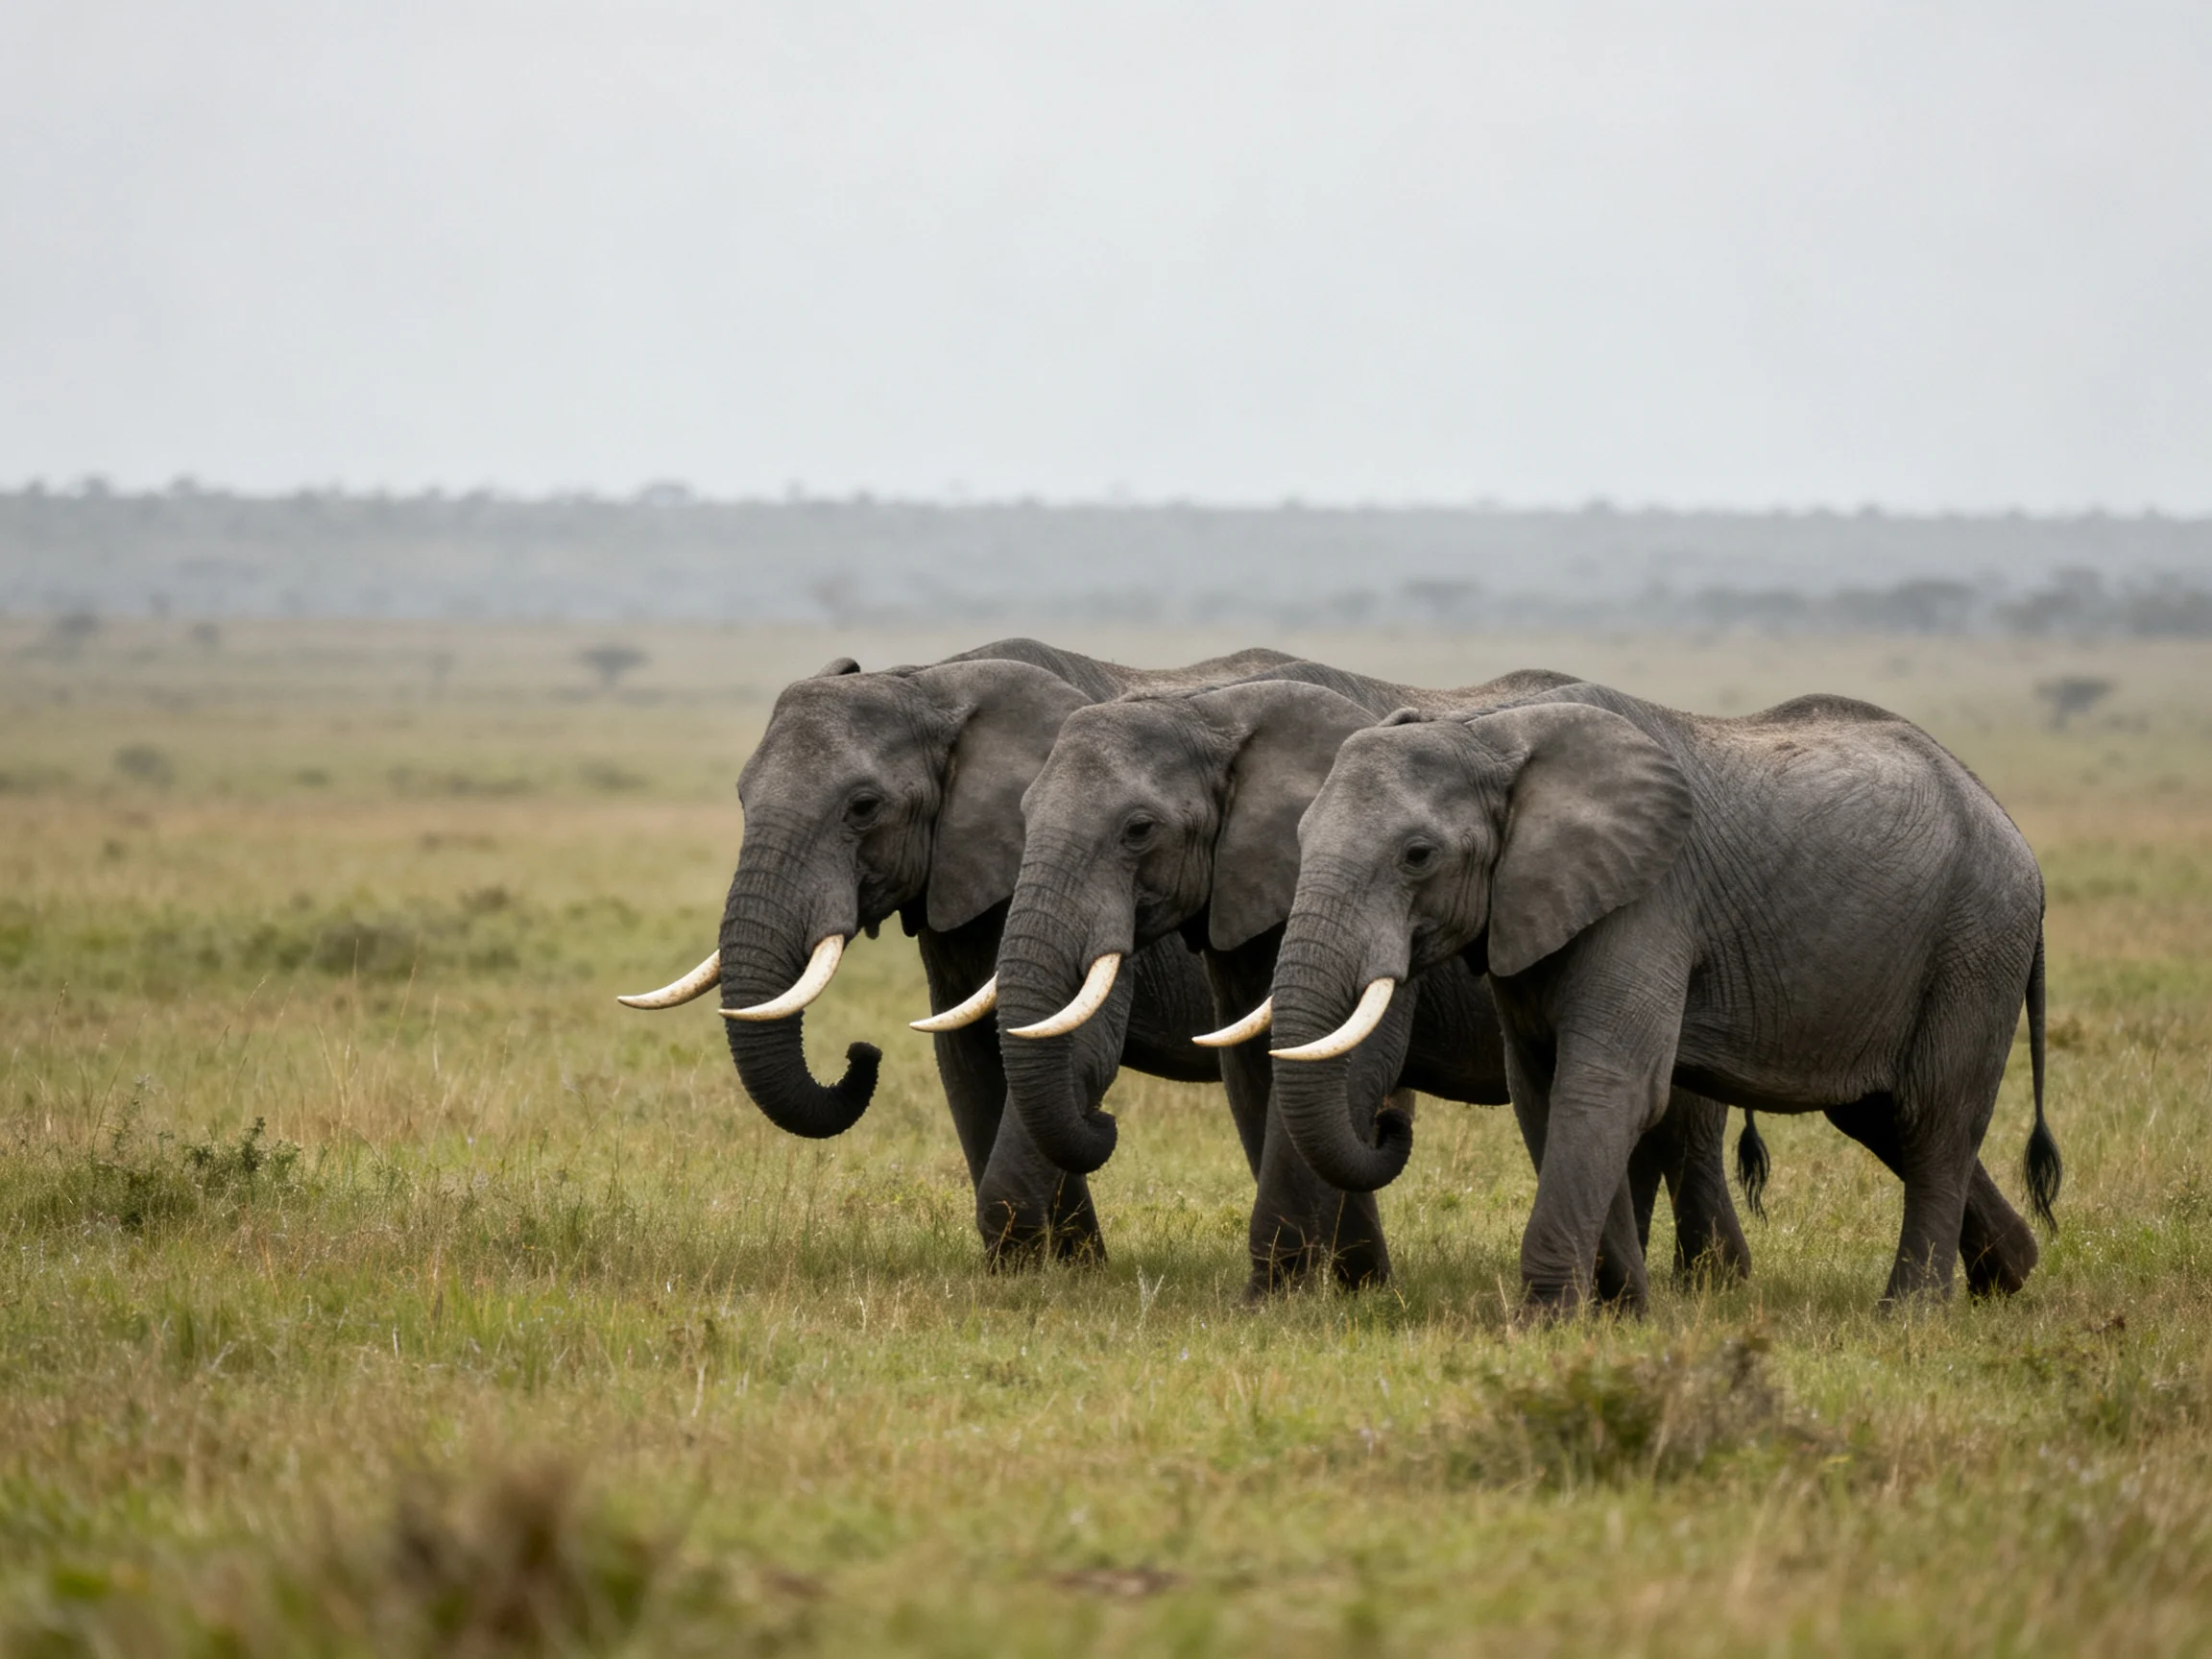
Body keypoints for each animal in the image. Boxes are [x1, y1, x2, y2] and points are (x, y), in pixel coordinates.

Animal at [616, 637, 1299, 1266]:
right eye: (740, 797)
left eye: (863, 808)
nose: (862, 1053)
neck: (929, 682)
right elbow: (966, 1058)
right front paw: (1052, 1272)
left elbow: (1074, 1048)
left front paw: (1040, 1265)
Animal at [988, 661, 1755, 1300]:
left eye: (1138, 830)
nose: (1106, 1121)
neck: (1219, 711)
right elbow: (1257, 1075)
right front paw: (1358, 1288)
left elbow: (1356, 1064)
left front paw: (1281, 1299)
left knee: (1679, 1125)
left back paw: (1715, 1284)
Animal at [1260, 679, 2061, 1313]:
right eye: (1298, 832)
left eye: (1417, 856)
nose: (1390, 1123)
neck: (1493, 732)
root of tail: (2015, 832)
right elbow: (1547, 1094)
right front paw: (1624, 1313)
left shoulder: (1649, 900)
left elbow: (1607, 1087)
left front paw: (1547, 1323)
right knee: (1879, 1117)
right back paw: (2011, 1277)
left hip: (1976, 940)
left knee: (1932, 1120)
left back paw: (1908, 1317)